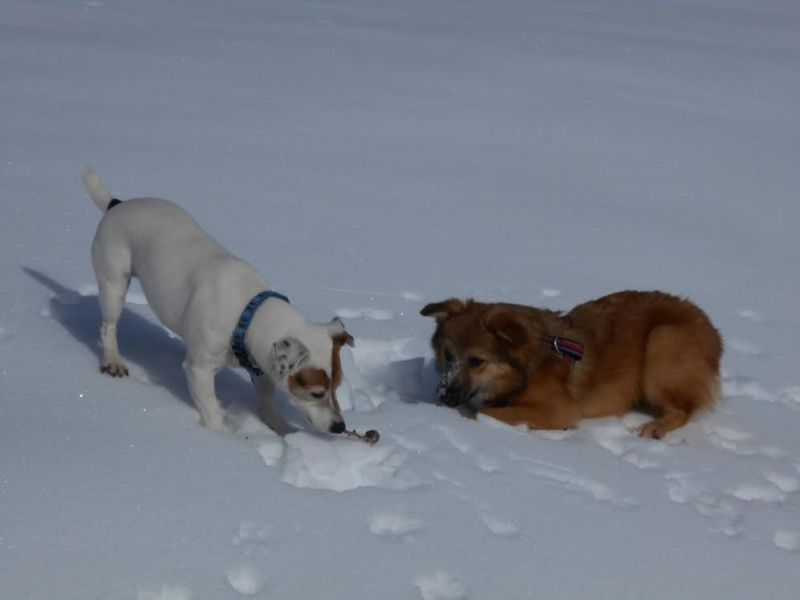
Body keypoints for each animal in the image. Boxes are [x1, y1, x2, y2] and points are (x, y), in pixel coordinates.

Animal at [81, 166, 354, 434]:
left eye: (338, 386)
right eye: (316, 393)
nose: (340, 427)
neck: (247, 311)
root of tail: (117, 204)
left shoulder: (260, 365)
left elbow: (267, 400)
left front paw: (282, 429)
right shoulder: (199, 370)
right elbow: (211, 410)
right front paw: (218, 438)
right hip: (114, 282)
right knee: (108, 326)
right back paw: (113, 361)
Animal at [422, 292, 720, 438]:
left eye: (476, 361)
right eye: (447, 355)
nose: (444, 397)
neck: (524, 370)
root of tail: (712, 330)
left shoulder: (559, 409)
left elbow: (483, 412)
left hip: (662, 339)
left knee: (684, 409)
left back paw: (655, 427)